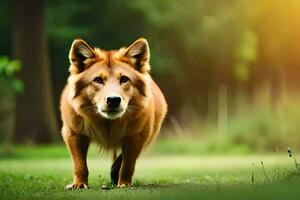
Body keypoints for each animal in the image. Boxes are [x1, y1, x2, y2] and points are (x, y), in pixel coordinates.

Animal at [59, 37, 168, 189]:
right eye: (98, 79)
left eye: (124, 79)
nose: (113, 100)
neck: (108, 123)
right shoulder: (73, 134)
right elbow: (80, 164)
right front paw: (79, 184)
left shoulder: (137, 136)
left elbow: (127, 164)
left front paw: (124, 183)